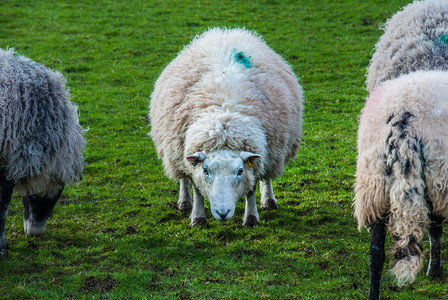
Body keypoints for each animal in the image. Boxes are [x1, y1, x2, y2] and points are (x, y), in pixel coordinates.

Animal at [149, 28, 302, 226]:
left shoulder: (255, 157)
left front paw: (251, 218)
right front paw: (198, 218)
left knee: (267, 175)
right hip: (175, 148)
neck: (224, 124)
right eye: (206, 170)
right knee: (182, 176)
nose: (223, 213)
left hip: (274, 148)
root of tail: (225, 33)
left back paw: (268, 200)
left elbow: (251, 188)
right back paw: (184, 202)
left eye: (240, 171)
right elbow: (197, 189)